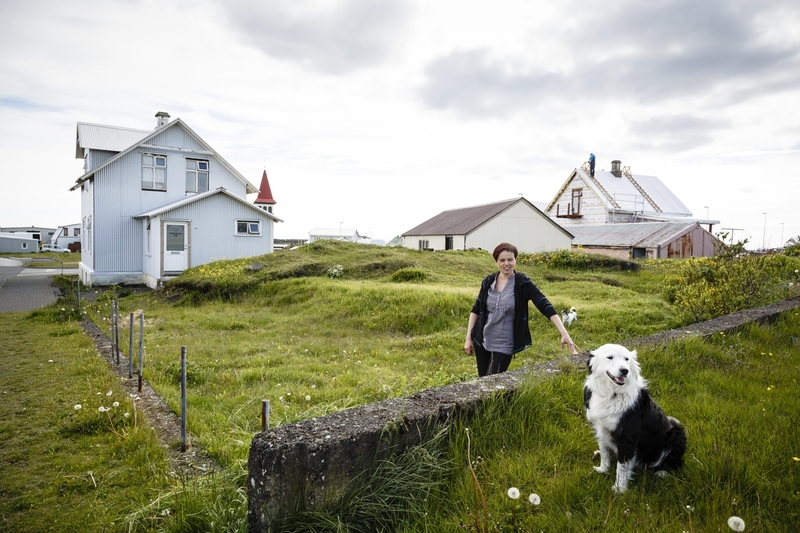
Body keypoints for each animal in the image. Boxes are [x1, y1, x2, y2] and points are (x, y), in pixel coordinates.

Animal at [580, 342, 688, 492]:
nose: (625, 371)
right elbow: (605, 452)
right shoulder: (600, 428)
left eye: (626, 359)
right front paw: (603, 469)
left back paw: (661, 472)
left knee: (673, 462)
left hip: (677, 435)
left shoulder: (627, 437)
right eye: (610, 357)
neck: (611, 394)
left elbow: (621, 467)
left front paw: (619, 489)